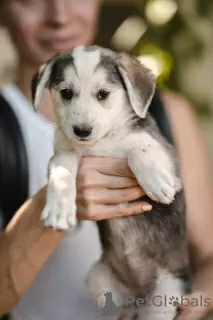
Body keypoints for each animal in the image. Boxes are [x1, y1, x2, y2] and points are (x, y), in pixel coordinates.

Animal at [32, 45, 190, 320]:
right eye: (66, 93)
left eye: (103, 94)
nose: (81, 130)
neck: (102, 142)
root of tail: (139, 294)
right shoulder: (63, 154)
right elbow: (61, 173)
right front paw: (59, 209)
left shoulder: (169, 157)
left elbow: (138, 150)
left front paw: (156, 180)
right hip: (99, 281)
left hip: (165, 295)